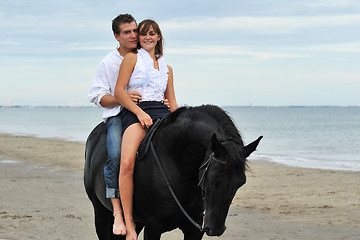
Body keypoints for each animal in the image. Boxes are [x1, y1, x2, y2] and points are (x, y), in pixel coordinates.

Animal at [86, 105, 262, 240]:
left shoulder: (194, 230)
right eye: (212, 177)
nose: (216, 229)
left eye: (241, 182)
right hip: (101, 212)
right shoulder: (153, 228)